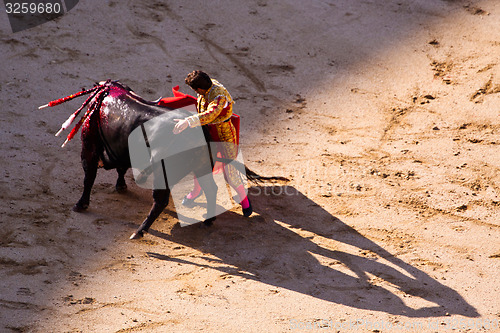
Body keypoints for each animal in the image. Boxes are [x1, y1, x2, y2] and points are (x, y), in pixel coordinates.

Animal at [58, 80, 282, 239]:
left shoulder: (89, 147)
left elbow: (89, 177)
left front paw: (81, 204)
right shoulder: (121, 151)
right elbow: (121, 168)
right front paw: (120, 186)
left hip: (163, 173)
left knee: (160, 200)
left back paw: (139, 231)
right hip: (202, 167)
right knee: (210, 189)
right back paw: (208, 220)